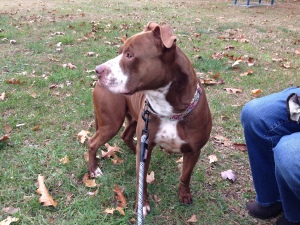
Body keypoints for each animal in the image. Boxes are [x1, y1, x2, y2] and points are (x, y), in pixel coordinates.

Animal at [88, 21, 212, 216]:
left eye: (129, 55)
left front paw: (184, 195)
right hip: (112, 122)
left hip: (133, 120)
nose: (98, 70)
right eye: (120, 51)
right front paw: (142, 205)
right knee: (93, 142)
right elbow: (142, 180)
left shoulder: (194, 150)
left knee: (126, 136)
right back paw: (94, 170)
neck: (170, 111)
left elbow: (185, 175)